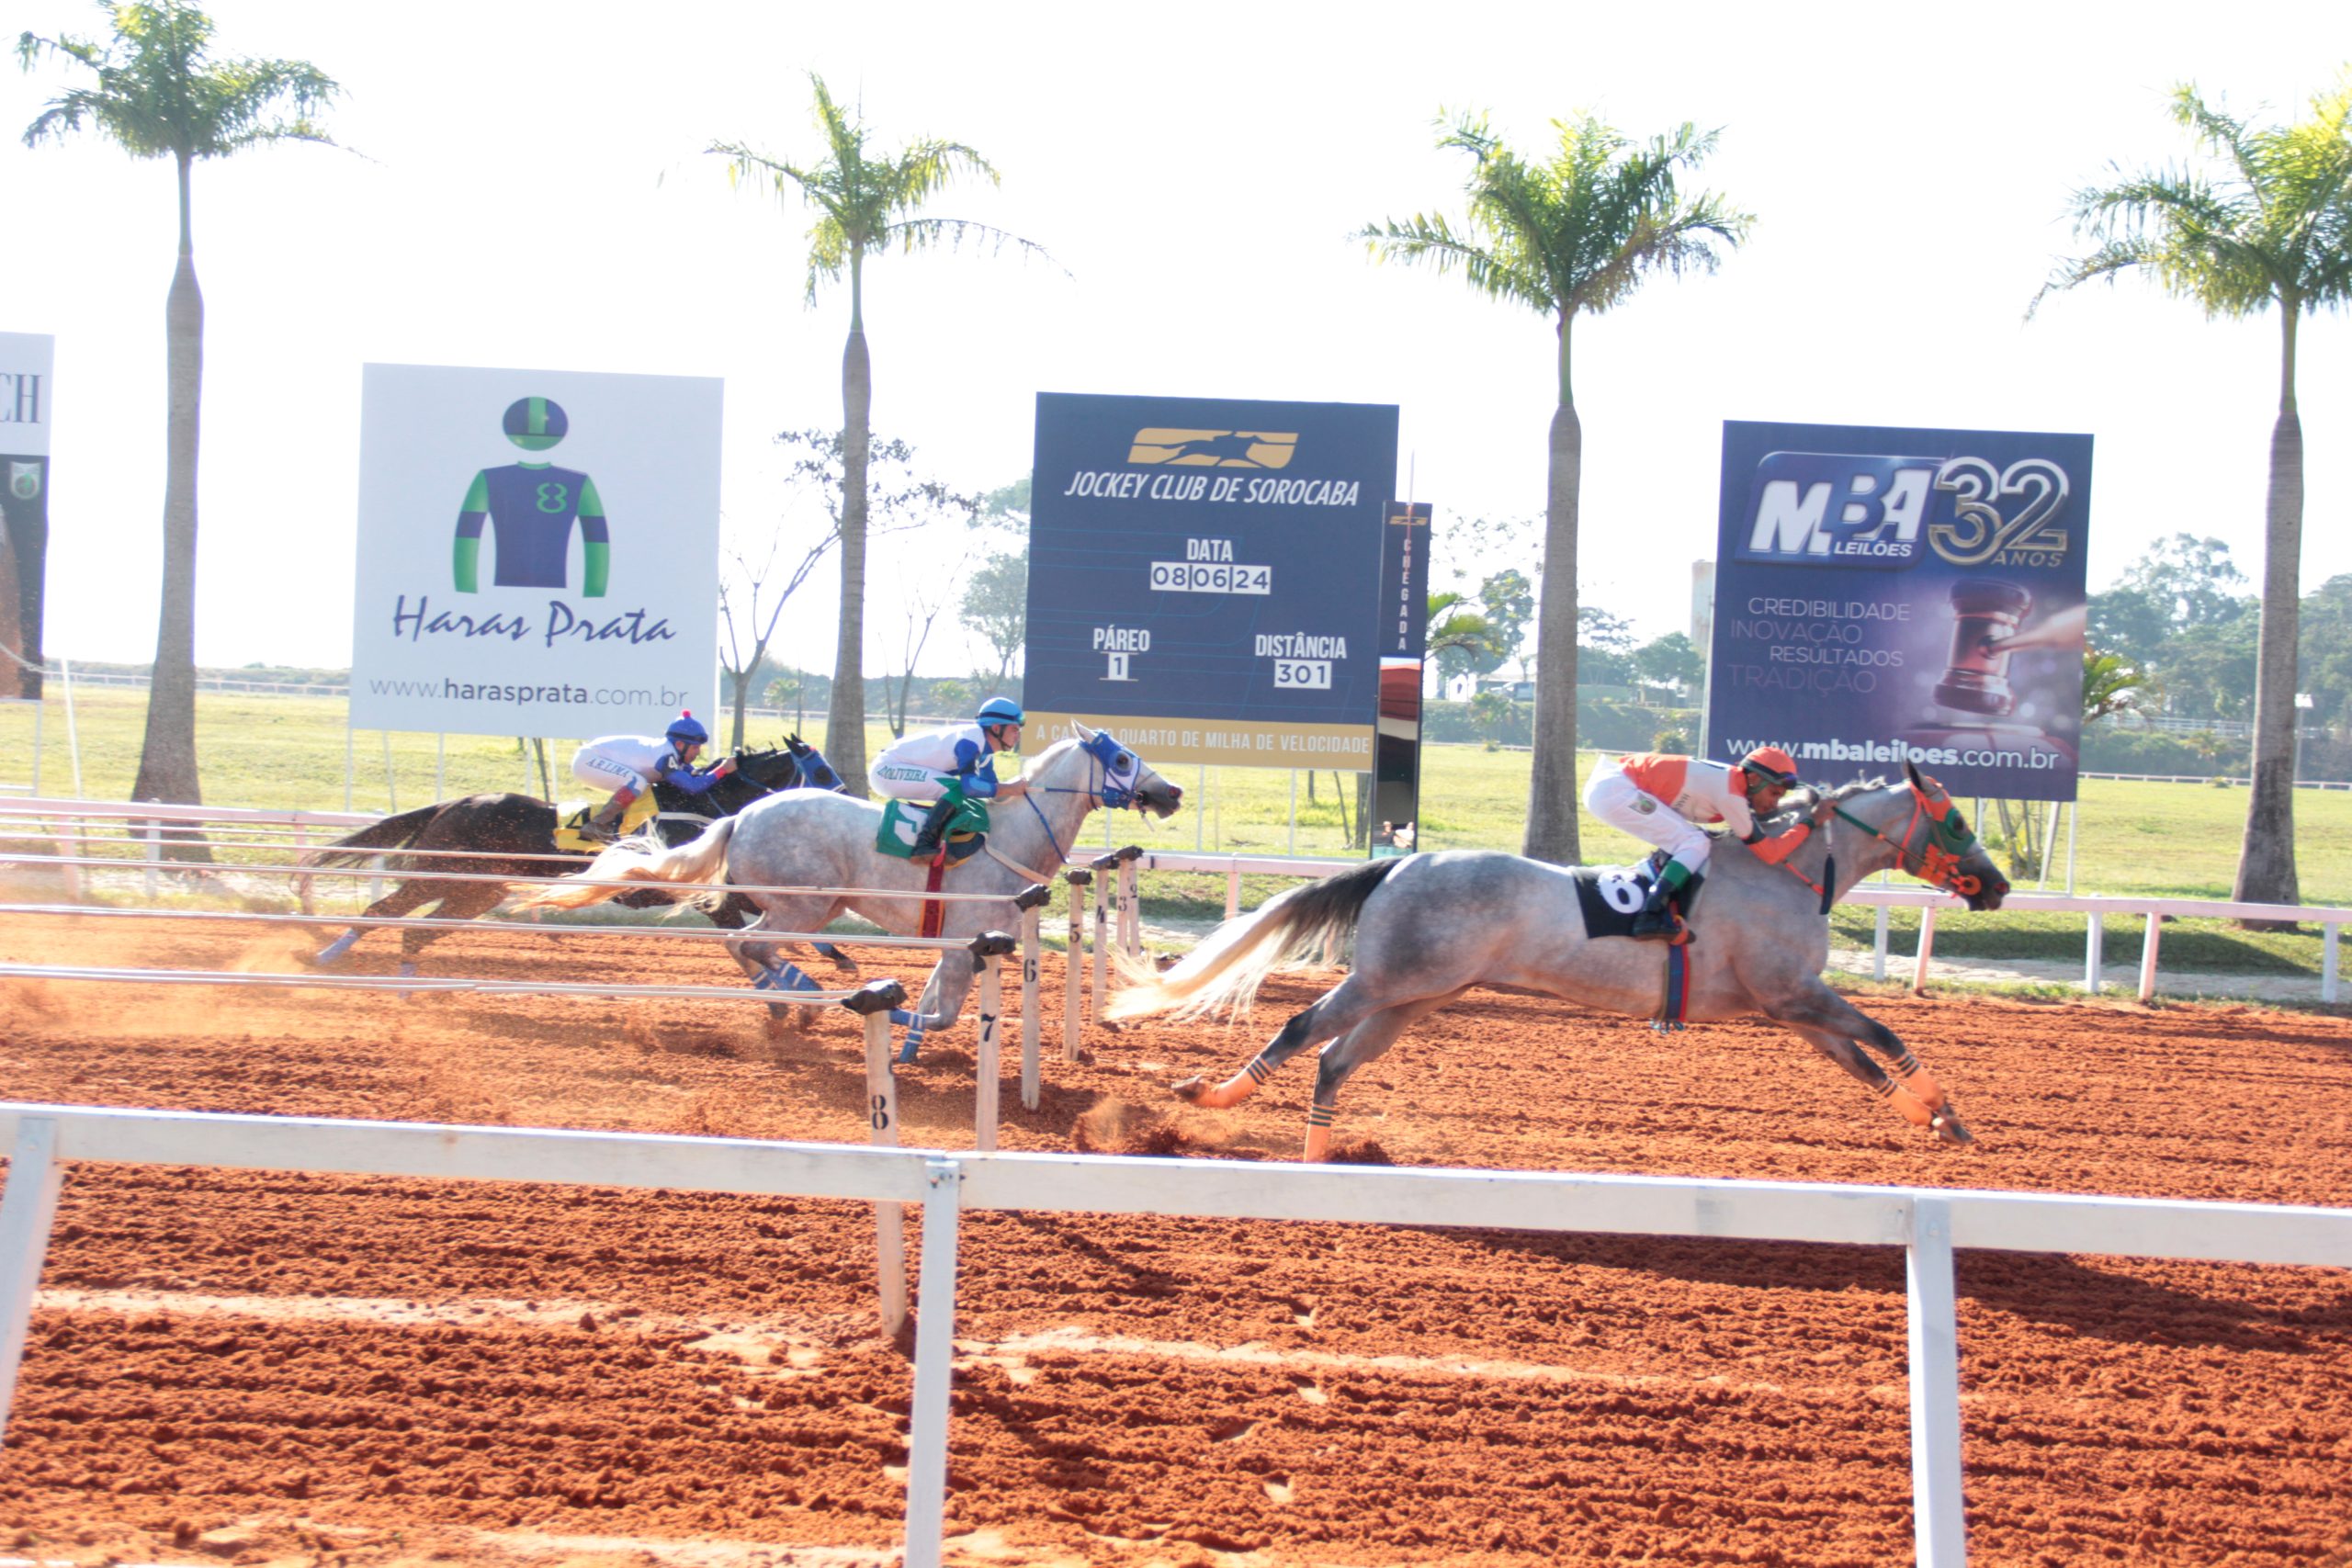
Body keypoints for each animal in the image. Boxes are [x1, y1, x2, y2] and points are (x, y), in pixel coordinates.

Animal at [300, 742, 837, 973]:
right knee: (381, 911)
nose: (843, 792)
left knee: (413, 930)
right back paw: (326, 957)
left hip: (476, 891)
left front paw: (830, 951)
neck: (701, 806)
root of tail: (457, 802)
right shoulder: (695, 892)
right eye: (820, 767)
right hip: (442, 876)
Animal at [514, 728, 1176, 1053]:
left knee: (744, 945)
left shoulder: (960, 944)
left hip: (811, 904)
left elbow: (939, 1008)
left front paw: (905, 1044)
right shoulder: (968, 939)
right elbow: (941, 1014)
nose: (1170, 792)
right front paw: (886, 1014)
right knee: (750, 944)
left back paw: (786, 1001)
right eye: (1122, 758)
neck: (1011, 833)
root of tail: (741, 817)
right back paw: (804, 995)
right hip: (802, 902)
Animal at [1110, 766, 2013, 1161]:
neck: (1787, 869)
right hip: (1387, 980)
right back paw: (1210, 1096)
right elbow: (1887, 1037)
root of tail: (1402, 862)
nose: (2000, 886)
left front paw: (1938, 1118)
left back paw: (1320, 1151)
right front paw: (1946, 1109)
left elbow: (1866, 1063)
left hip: (1418, 994)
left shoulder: (1792, 1006)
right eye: (1958, 821)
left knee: (1336, 1056)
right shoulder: (1794, 994)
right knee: (1302, 1028)